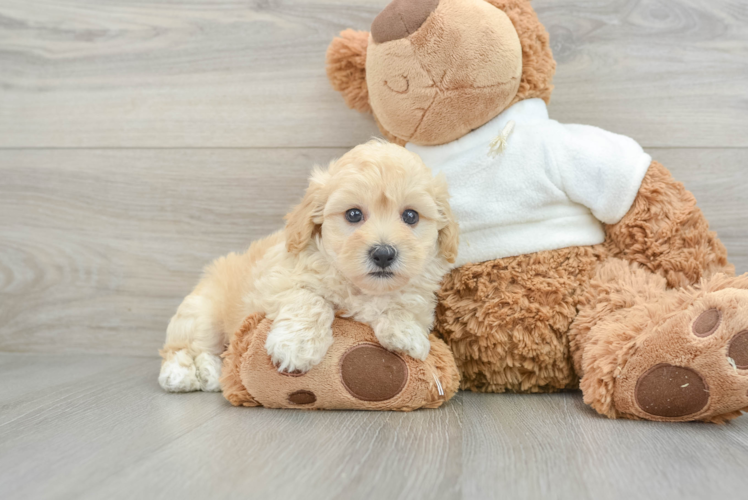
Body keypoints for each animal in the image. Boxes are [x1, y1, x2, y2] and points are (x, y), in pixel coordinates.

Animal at [161, 140, 458, 390]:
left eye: (411, 216)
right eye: (353, 214)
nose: (383, 254)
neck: (360, 287)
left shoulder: (419, 294)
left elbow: (406, 303)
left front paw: (406, 333)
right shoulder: (276, 282)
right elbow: (310, 299)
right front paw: (297, 346)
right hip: (203, 314)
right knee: (185, 346)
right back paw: (188, 373)